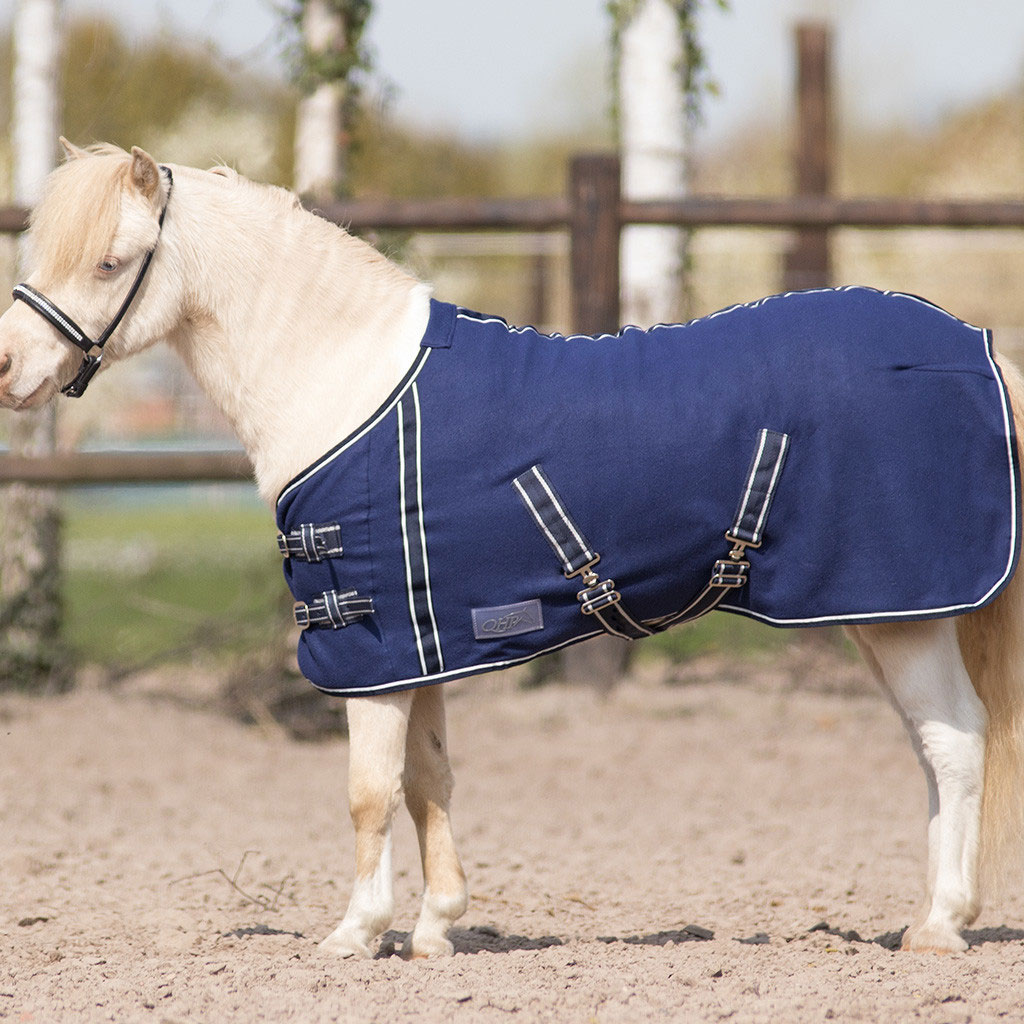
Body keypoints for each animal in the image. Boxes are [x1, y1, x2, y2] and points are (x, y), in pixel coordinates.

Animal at [1, 141, 1023, 958]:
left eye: (111, 260)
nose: (8, 369)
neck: (347, 383)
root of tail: (976, 348)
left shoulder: (368, 648)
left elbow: (369, 791)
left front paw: (354, 936)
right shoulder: (417, 645)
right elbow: (428, 779)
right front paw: (435, 930)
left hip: (902, 617)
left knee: (956, 743)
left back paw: (939, 928)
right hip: (882, 617)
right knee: (933, 752)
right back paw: (929, 918)